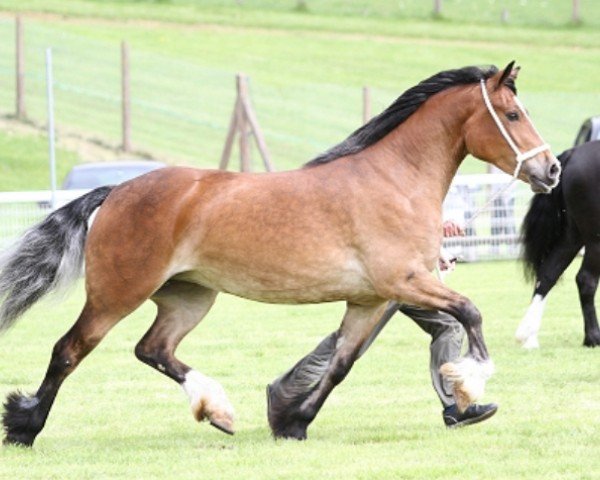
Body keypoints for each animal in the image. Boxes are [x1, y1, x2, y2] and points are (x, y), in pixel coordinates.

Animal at [516, 140, 600, 348]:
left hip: (572, 236)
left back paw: (528, 337)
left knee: (547, 275)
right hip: (595, 240)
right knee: (586, 280)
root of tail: (574, 153)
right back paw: (593, 338)